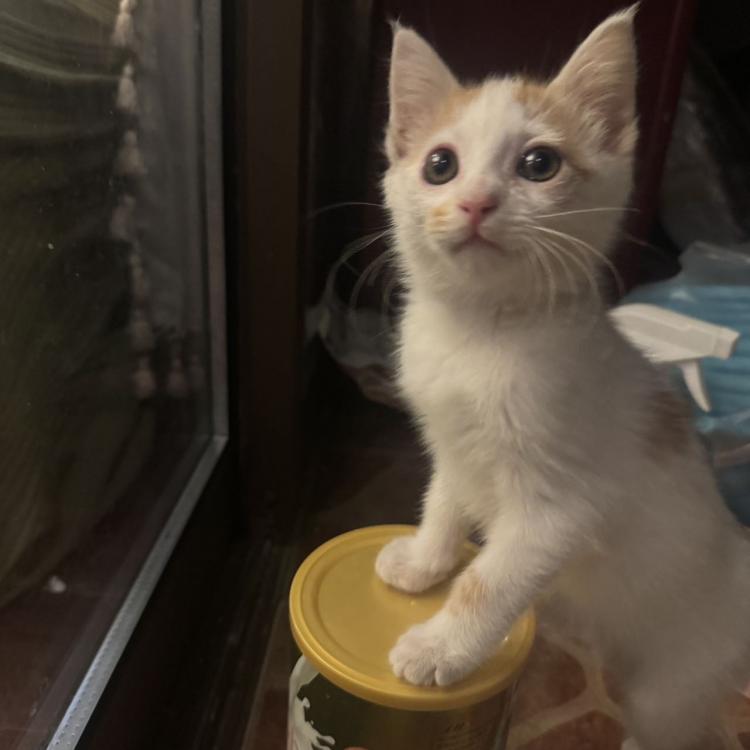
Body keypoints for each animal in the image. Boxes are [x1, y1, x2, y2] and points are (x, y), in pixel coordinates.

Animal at [374, 7, 750, 750]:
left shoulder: (560, 511)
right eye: (440, 164)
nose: (475, 203)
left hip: (674, 683)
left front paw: (439, 648)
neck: (480, 333)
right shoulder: (453, 444)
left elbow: (489, 581)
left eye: (538, 164)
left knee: (675, 725)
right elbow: (443, 503)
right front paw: (424, 562)